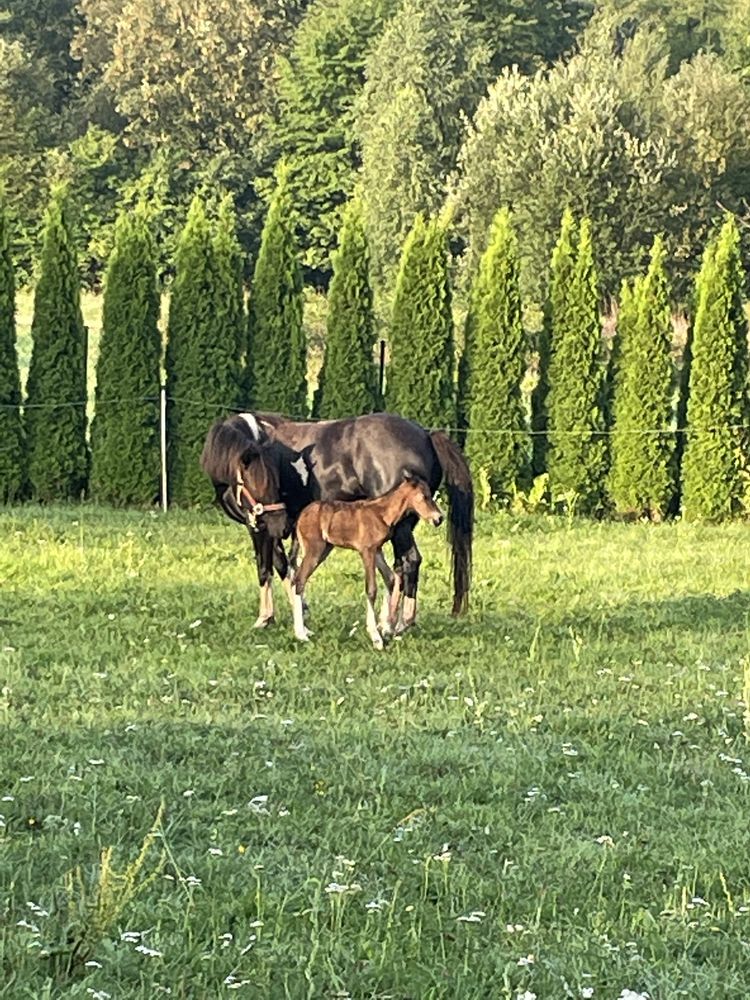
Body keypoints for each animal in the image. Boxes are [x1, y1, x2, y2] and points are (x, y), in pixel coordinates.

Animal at [203, 408, 472, 628]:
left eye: (271, 480)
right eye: (256, 481)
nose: (281, 524)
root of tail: (426, 435)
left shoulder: (257, 526)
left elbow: (265, 567)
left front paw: (265, 618)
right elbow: (283, 566)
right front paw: (298, 609)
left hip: (403, 526)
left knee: (410, 561)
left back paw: (398, 623)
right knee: (399, 567)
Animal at [292, 476, 444, 648]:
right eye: (424, 496)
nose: (439, 518)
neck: (382, 514)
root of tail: (301, 516)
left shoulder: (377, 550)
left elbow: (390, 579)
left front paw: (387, 628)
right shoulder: (367, 551)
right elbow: (371, 589)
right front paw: (376, 637)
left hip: (324, 549)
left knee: (297, 579)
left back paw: (305, 631)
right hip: (314, 550)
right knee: (299, 580)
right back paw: (301, 634)